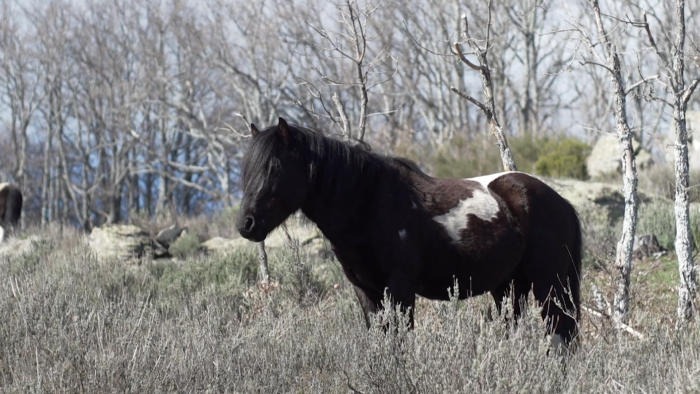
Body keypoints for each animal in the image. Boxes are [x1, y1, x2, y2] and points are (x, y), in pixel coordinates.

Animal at [238, 117, 584, 348]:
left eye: (275, 168)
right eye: (248, 169)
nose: (246, 224)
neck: (368, 202)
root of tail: (561, 203)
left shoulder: (399, 288)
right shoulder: (366, 291)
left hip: (548, 285)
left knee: (560, 335)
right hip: (510, 287)